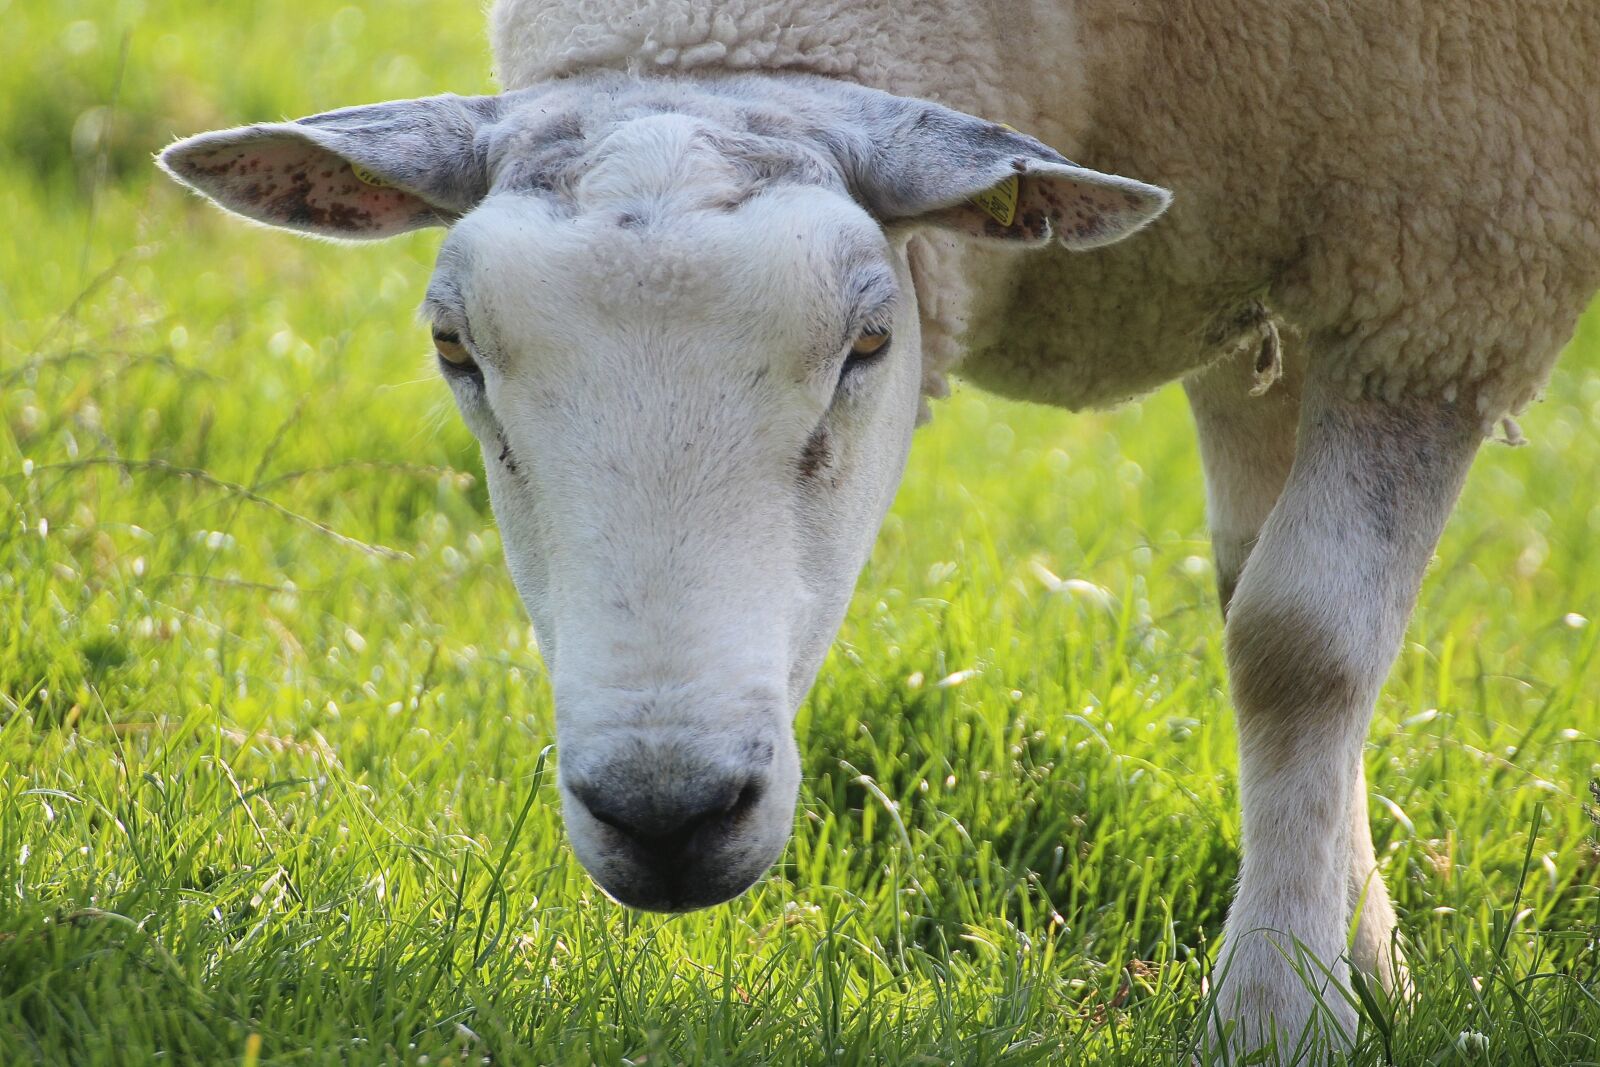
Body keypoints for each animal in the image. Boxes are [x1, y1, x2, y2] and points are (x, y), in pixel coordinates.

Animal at [159, 0, 1600, 1059]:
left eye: (867, 343)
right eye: (453, 348)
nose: (667, 811)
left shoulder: (1446, 263)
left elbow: (1297, 642)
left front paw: (1278, 1009)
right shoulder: (1264, 254)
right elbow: (1256, 590)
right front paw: (1358, 960)